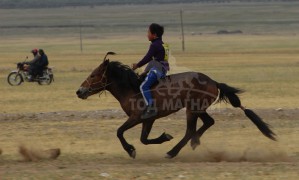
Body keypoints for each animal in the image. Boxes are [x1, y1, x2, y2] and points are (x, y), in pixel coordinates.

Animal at [77, 52, 276, 159]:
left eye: (94, 75)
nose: (79, 91)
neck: (132, 89)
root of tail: (213, 81)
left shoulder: (137, 117)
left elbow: (119, 132)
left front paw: (131, 150)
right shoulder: (148, 120)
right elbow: (144, 139)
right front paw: (163, 137)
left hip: (192, 110)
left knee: (190, 130)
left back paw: (172, 152)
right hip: (198, 108)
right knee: (208, 122)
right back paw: (195, 142)